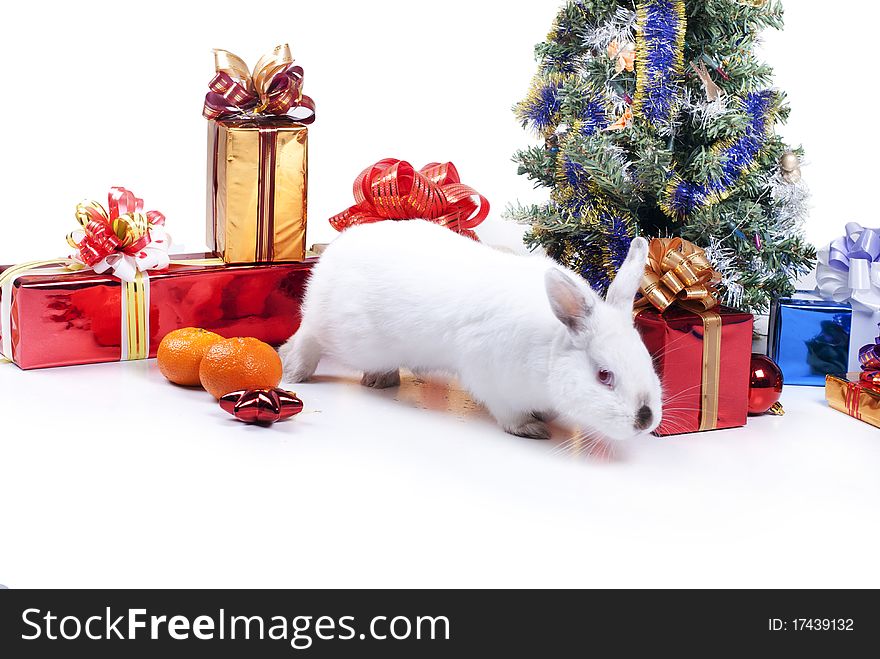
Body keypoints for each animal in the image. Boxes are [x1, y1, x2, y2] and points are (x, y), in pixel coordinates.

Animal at [282, 219, 660, 440]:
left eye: (648, 361)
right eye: (604, 375)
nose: (646, 421)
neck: (549, 349)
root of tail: (334, 253)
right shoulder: (493, 380)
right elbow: (510, 415)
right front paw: (532, 428)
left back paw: (382, 379)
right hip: (343, 333)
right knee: (309, 336)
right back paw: (294, 371)